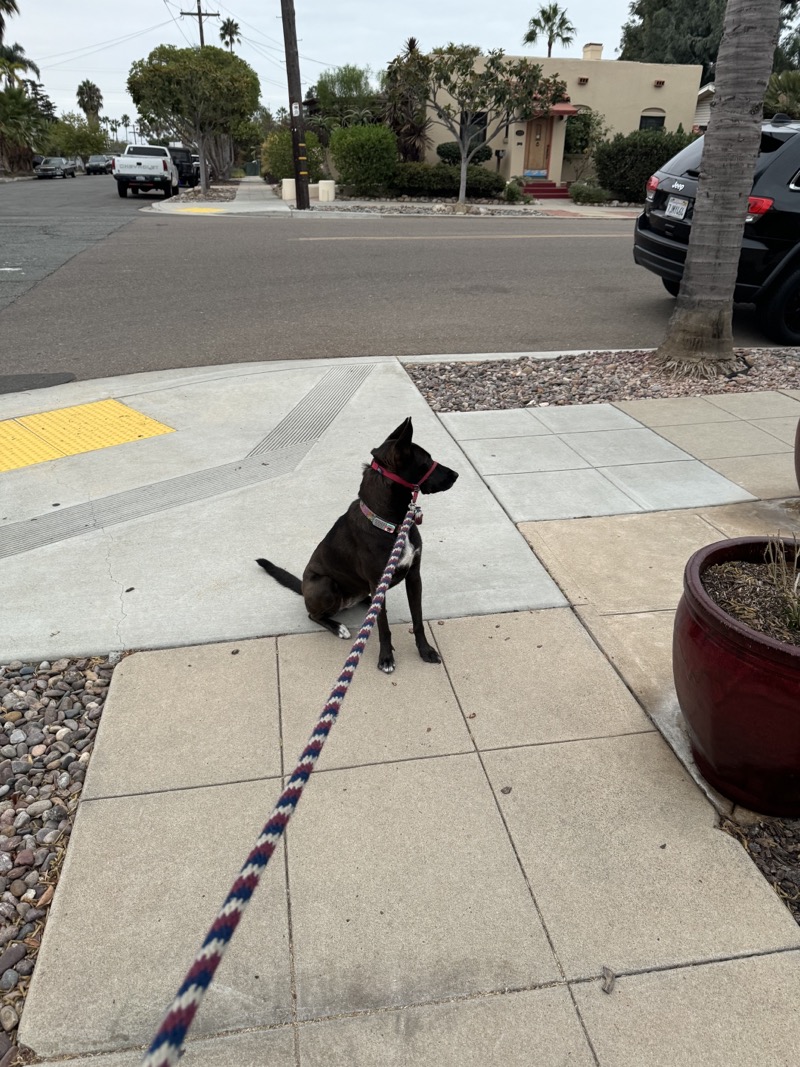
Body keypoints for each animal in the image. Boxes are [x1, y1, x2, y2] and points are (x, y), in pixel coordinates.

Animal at [254, 418, 456, 674]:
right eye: (426, 461)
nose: (456, 474)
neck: (391, 523)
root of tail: (303, 587)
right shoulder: (378, 580)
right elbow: (383, 628)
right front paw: (386, 658)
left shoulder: (414, 576)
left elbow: (418, 619)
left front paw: (425, 650)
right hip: (325, 585)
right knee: (313, 615)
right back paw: (338, 626)